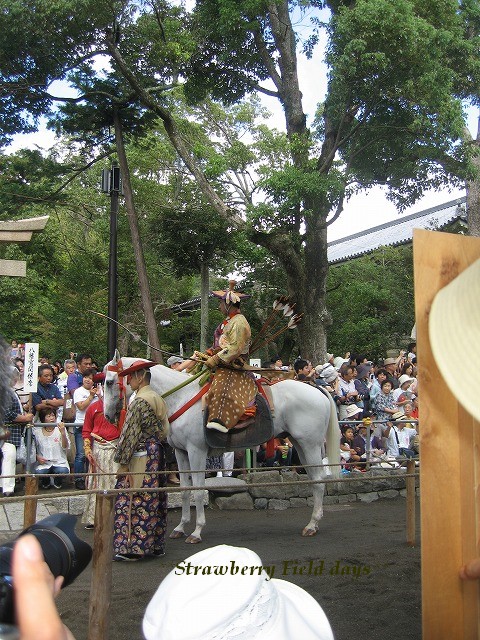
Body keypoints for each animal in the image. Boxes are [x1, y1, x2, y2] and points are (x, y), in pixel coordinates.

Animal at [103, 352, 340, 544]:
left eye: (109, 381)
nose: (107, 415)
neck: (180, 397)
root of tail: (315, 388)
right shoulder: (181, 453)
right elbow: (185, 490)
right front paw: (180, 527)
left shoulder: (196, 451)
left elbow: (199, 491)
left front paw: (196, 531)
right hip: (300, 444)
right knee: (314, 479)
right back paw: (313, 523)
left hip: (310, 444)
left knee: (319, 481)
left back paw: (312, 525)